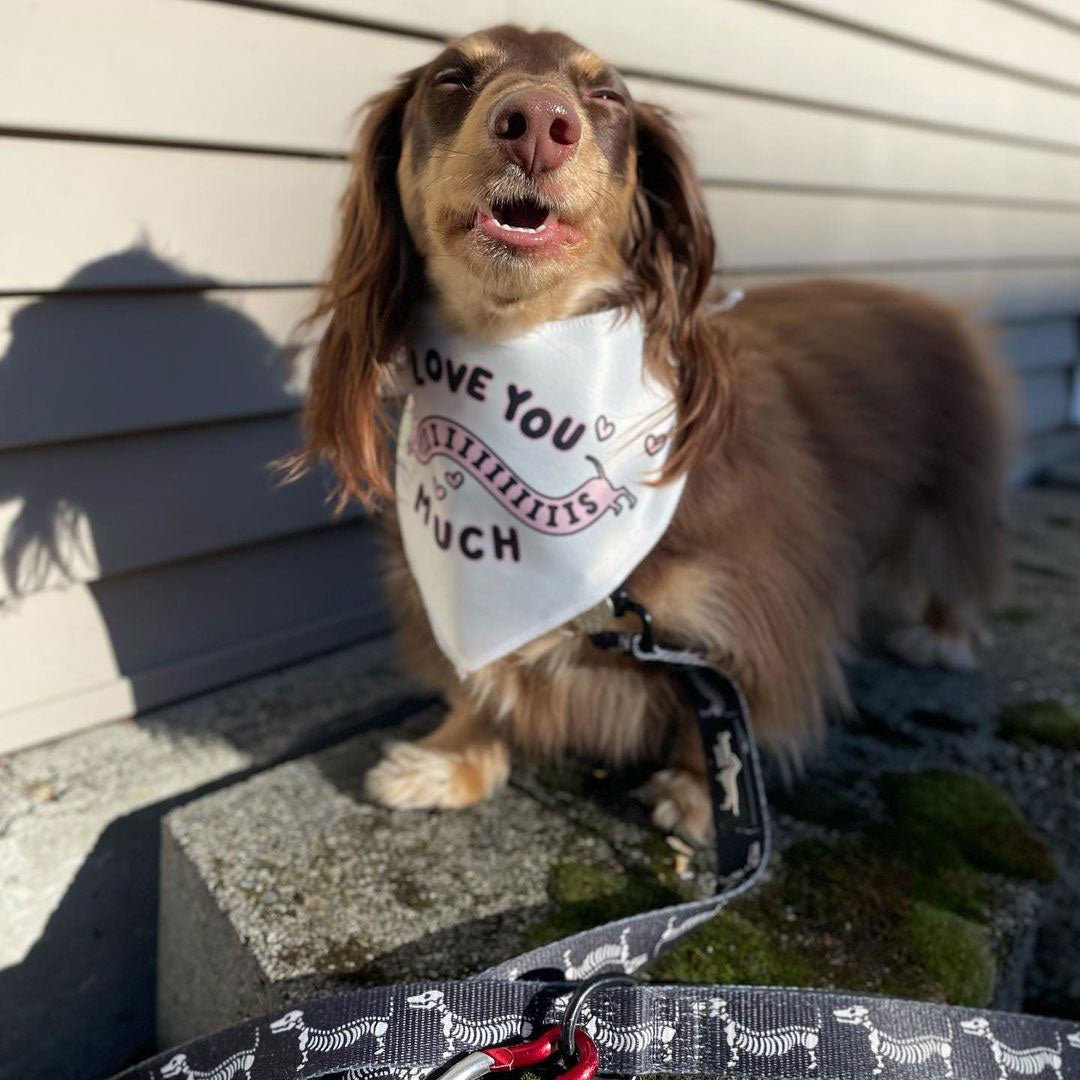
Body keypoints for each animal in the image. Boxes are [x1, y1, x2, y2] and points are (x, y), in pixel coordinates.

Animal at [285, 23, 1002, 833]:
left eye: (607, 96)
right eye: (451, 77)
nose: (538, 125)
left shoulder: (751, 605)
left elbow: (721, 709)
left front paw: (704, 794)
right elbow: (481, 684)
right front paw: (450, 757)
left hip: (956, 482)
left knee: (957, 559)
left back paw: (942, 635)